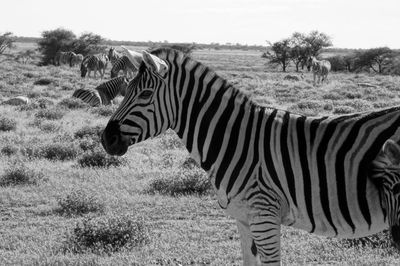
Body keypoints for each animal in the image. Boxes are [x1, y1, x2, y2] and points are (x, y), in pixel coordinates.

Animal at [101, 47, 400, 264]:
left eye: (145, 94)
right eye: (126, 90)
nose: (106, 139)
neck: (236, 139)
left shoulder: (264, 215)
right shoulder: (244, 218)